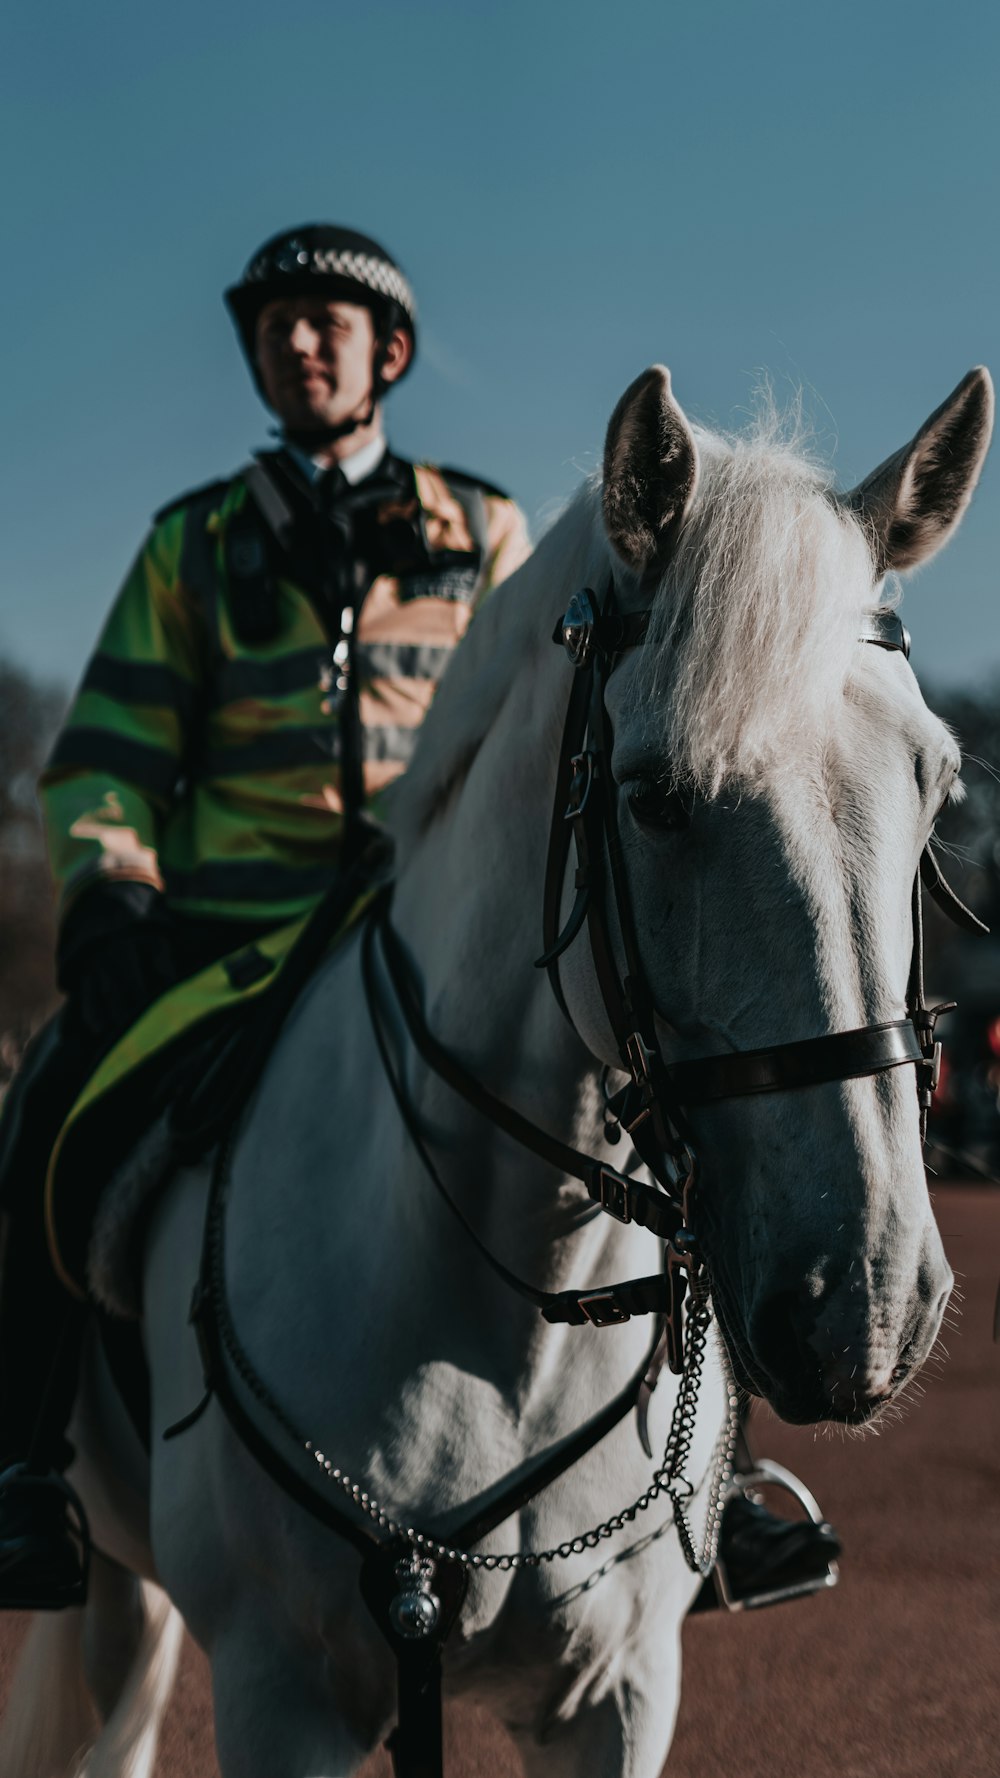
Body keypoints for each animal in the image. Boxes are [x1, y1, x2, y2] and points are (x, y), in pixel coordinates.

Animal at [1, 360, 989, 1778]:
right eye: (656, 796)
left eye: (936, 785)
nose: (865, 1299)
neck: (504, 1305)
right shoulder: (283, 1694)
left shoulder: (618, 1694)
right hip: (119, 1600)